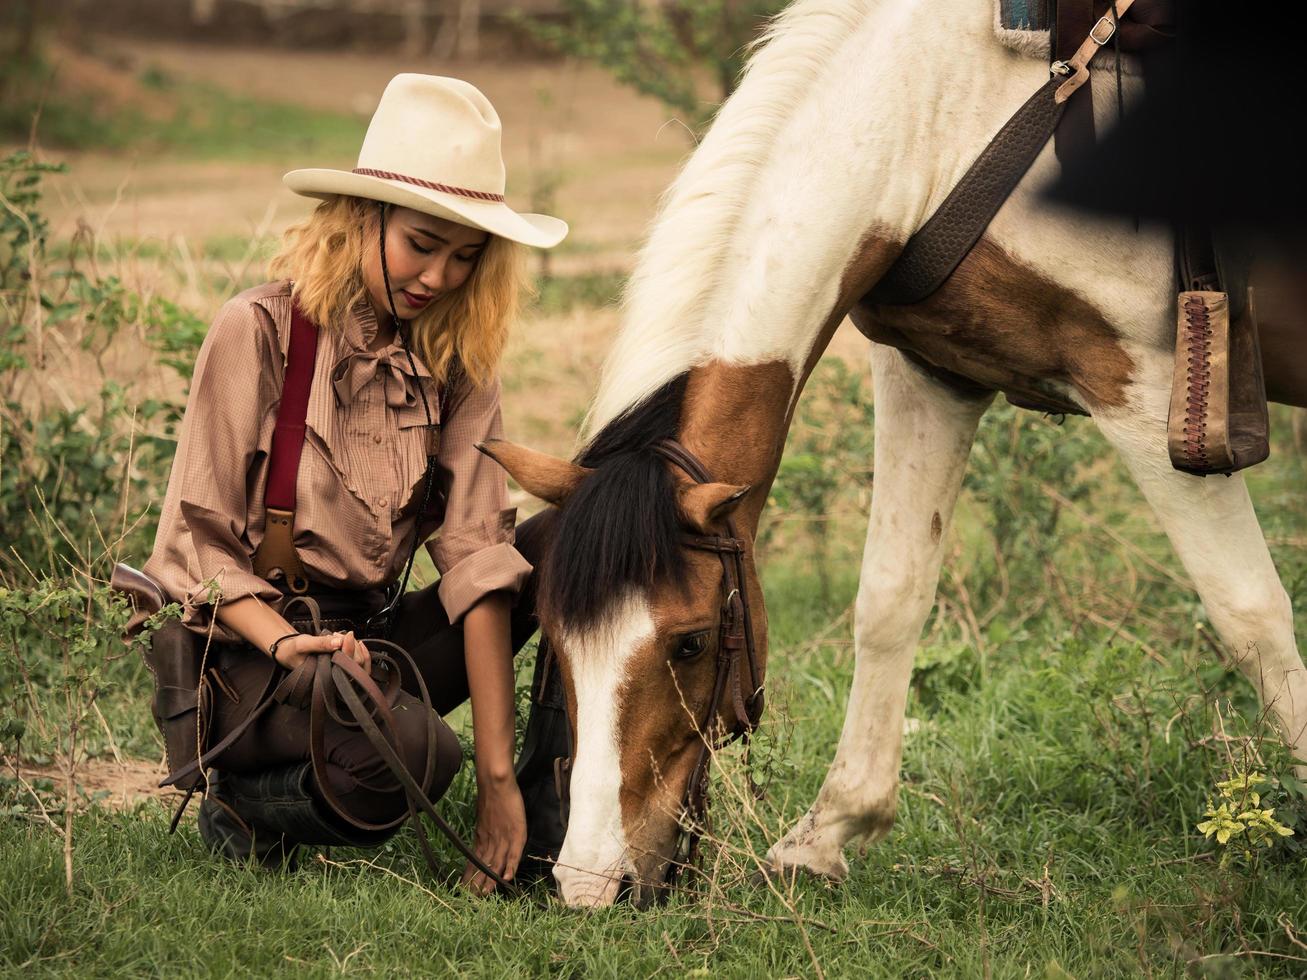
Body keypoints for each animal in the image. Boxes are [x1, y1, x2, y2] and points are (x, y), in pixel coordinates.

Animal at [480, 0, 1307, 914]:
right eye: (552, 638)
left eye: (690, 643)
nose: (590, 883)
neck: (944, 117)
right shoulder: (931, 374)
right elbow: (889, 598)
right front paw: (827, 834)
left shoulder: (1141, 387)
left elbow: (1249, 615)